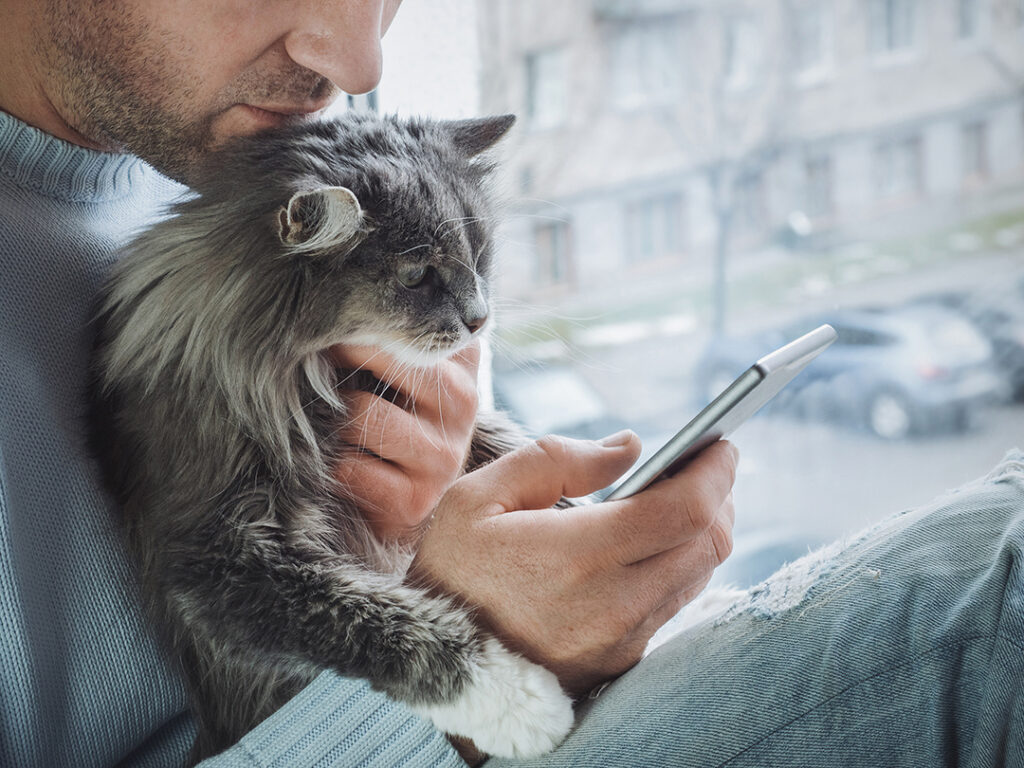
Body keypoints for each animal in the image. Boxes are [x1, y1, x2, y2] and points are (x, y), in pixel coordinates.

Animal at [84, 112, 577, 765]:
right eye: (419, 276)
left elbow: (502, 440)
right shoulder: (219, 560)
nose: (479, 320)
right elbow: (383, 624)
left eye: (480, 257)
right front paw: (519, 700)